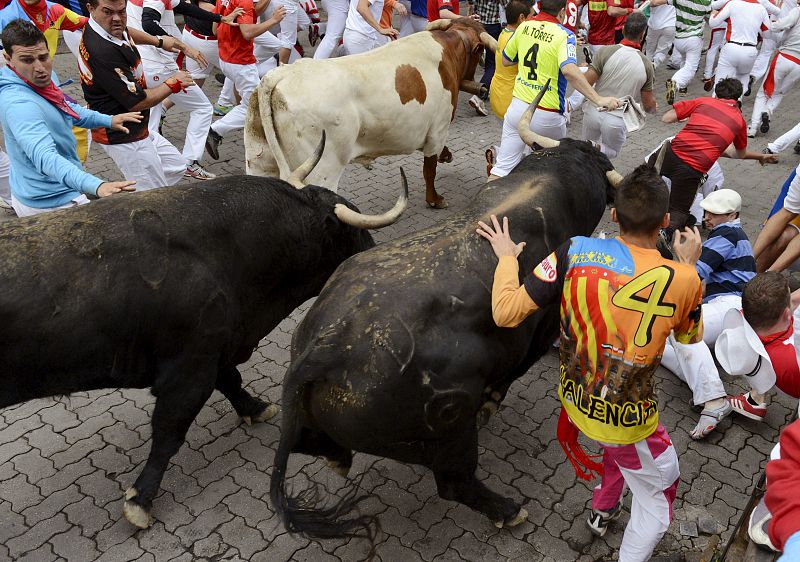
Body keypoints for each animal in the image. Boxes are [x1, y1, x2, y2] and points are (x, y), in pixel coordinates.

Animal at [1, 173, 406, 528]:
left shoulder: (215, 347)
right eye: (354, 230)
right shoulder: (189, 368)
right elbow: (169, 431)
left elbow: (230, 381)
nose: (376, 259)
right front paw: (140, 500)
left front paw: (254, 408)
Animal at [270, 136, 620, 540]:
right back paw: (507, 509)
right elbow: (516, 369)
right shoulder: (543, 325)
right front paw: (492, 401)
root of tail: (324, 347)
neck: (553, 177)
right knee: (455, 484)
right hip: (452, 432)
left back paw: (338, 460)